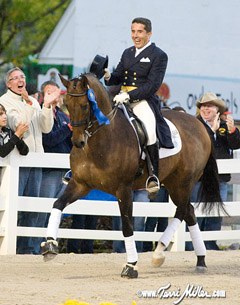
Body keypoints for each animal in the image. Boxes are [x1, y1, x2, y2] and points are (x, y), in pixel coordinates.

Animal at [41, 72, 225, 278]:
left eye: (84, 105)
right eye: (65, 103)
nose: (77, 142)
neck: (102, 139)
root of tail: (200, 125)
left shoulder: (124, 189)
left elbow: (127, 225)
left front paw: (131, 265)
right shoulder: (80, 184)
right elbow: (58, 204)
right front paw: (50, 246)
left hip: (183, 182)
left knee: (183, 210)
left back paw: (159, 253)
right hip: (172, 182)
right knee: (189, 211)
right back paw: (199, 260)